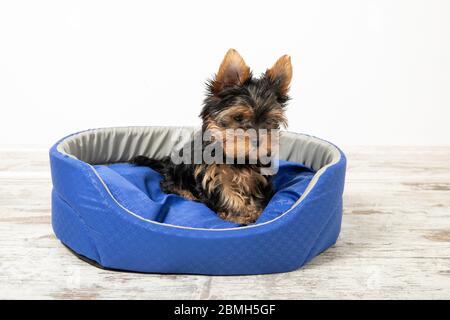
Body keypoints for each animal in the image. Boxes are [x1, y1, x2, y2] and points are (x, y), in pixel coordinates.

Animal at [132, 48, 294, 224]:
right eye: (238, 118)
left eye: (269, 121)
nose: (258, 142)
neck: (236, 157)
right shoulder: (212, 174)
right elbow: (226, 193)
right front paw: (241, 214)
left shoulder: (260, 176)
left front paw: (255, 211)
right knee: (168, 185)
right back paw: (186, 193)